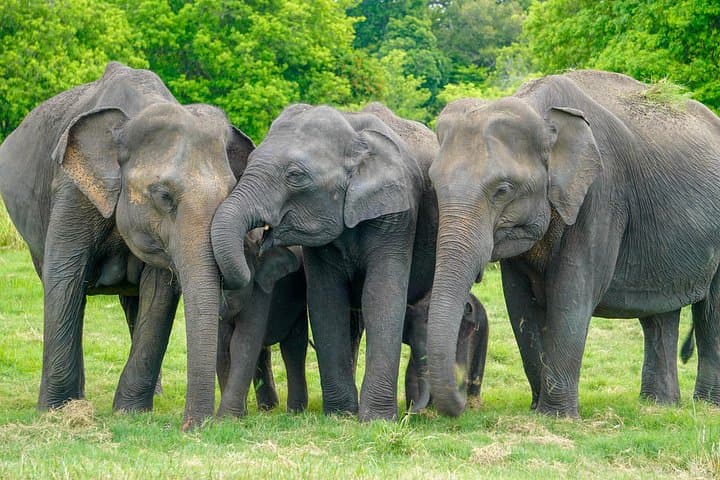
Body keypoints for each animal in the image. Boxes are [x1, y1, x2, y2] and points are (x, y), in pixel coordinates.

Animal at [0, 62, 254, 429]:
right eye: (163, 196)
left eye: (230, 194)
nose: (193, 427)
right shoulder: (72, 190)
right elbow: (65, 277)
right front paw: (57, 411)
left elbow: (160, 293)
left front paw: (130, 412)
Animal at [216, 230, 307, 417]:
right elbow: (222, 346)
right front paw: (237, 415)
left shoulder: (262, 290)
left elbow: (243, 342)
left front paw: (228, 417)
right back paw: (268, 408)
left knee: (293, 346)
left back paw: (294, 411)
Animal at [426, 70, 720, 418]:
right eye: (433, 184)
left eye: (502, 189)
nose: (465, 400)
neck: (539, 108)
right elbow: (519, 302)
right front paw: (537, 409)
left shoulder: (601, 194)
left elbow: (571, 293)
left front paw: (557, 416)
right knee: (660, 314)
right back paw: (659, 406)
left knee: (711, 312)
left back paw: (706, 406)